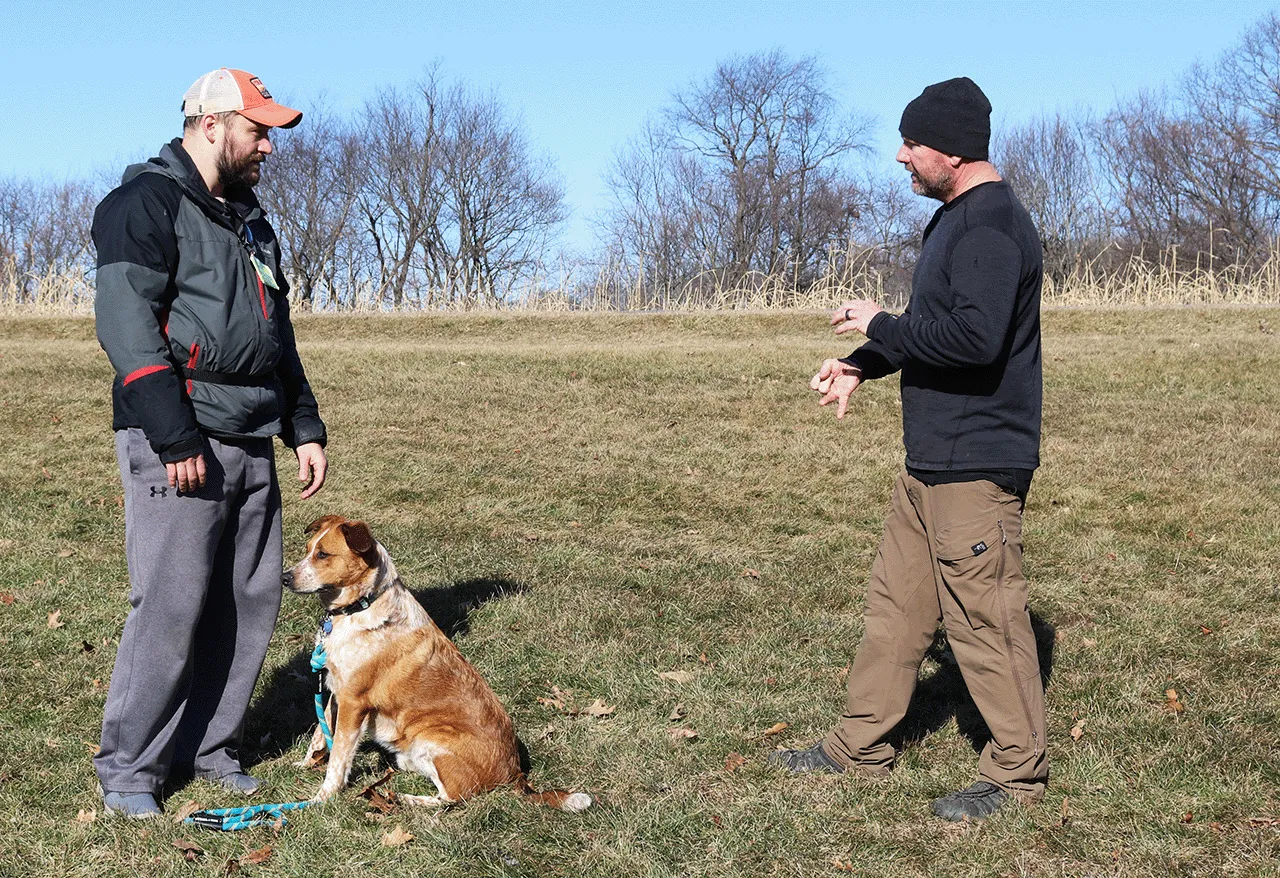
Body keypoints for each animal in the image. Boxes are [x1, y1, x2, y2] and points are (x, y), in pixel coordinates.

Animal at [282, 517, 591, 814]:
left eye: (323, 554)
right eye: (307, 549)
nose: (285, 578)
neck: (361, 606)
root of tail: (516, 774)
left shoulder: (353, 702)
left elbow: (339, 757)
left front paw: (321, 798)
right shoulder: (335, 691)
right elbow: (320, 734)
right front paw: (305, 765)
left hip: (433, 738)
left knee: (455, 798)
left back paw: (406, 799)